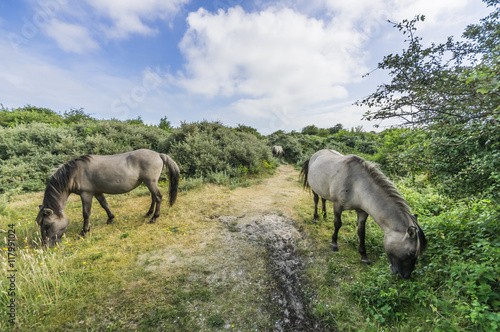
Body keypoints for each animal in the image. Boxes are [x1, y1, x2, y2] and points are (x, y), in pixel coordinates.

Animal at [35, 149, 180, 245]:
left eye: (47, 225)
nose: (45, 245)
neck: (75, 172)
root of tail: (158, 154)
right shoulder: (97, 192)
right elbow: (104, 204)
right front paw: (111, 218)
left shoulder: (86, 193)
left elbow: (86, 213)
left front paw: (84, 231)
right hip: (149, 183)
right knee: (153, 198)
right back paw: (148, 213)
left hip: (150, 182)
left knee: (158, 197)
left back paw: (154, 218)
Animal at [298, 150, 428, 278]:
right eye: (411, 253)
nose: (406, 276)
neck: (356, 185)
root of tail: (315, 154)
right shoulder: (338, 206)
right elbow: (338, 224)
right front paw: (334, 244)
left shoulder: (362, 212)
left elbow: (361, 232)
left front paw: (364, 256)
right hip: (314, 188)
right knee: (316, 199)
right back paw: (316, 217)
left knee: (323, 199)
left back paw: (324, 215)